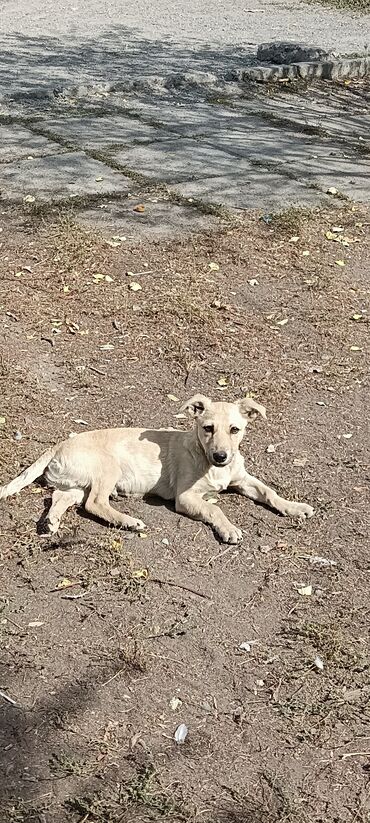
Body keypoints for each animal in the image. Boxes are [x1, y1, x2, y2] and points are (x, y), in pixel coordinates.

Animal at [0, 396, 314, 544]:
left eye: (235, 430)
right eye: (207, 428)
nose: (221, 456)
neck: (207, 462)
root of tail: (59, 445)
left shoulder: (243, 479)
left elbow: (269, 492)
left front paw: (295, 507)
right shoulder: (186, 497)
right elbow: (214, 508)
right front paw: (228, 529)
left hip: (78, 483)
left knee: (59, 498)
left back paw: (52, 522)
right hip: (108, 469)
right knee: (95, 503)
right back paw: (128, 521)